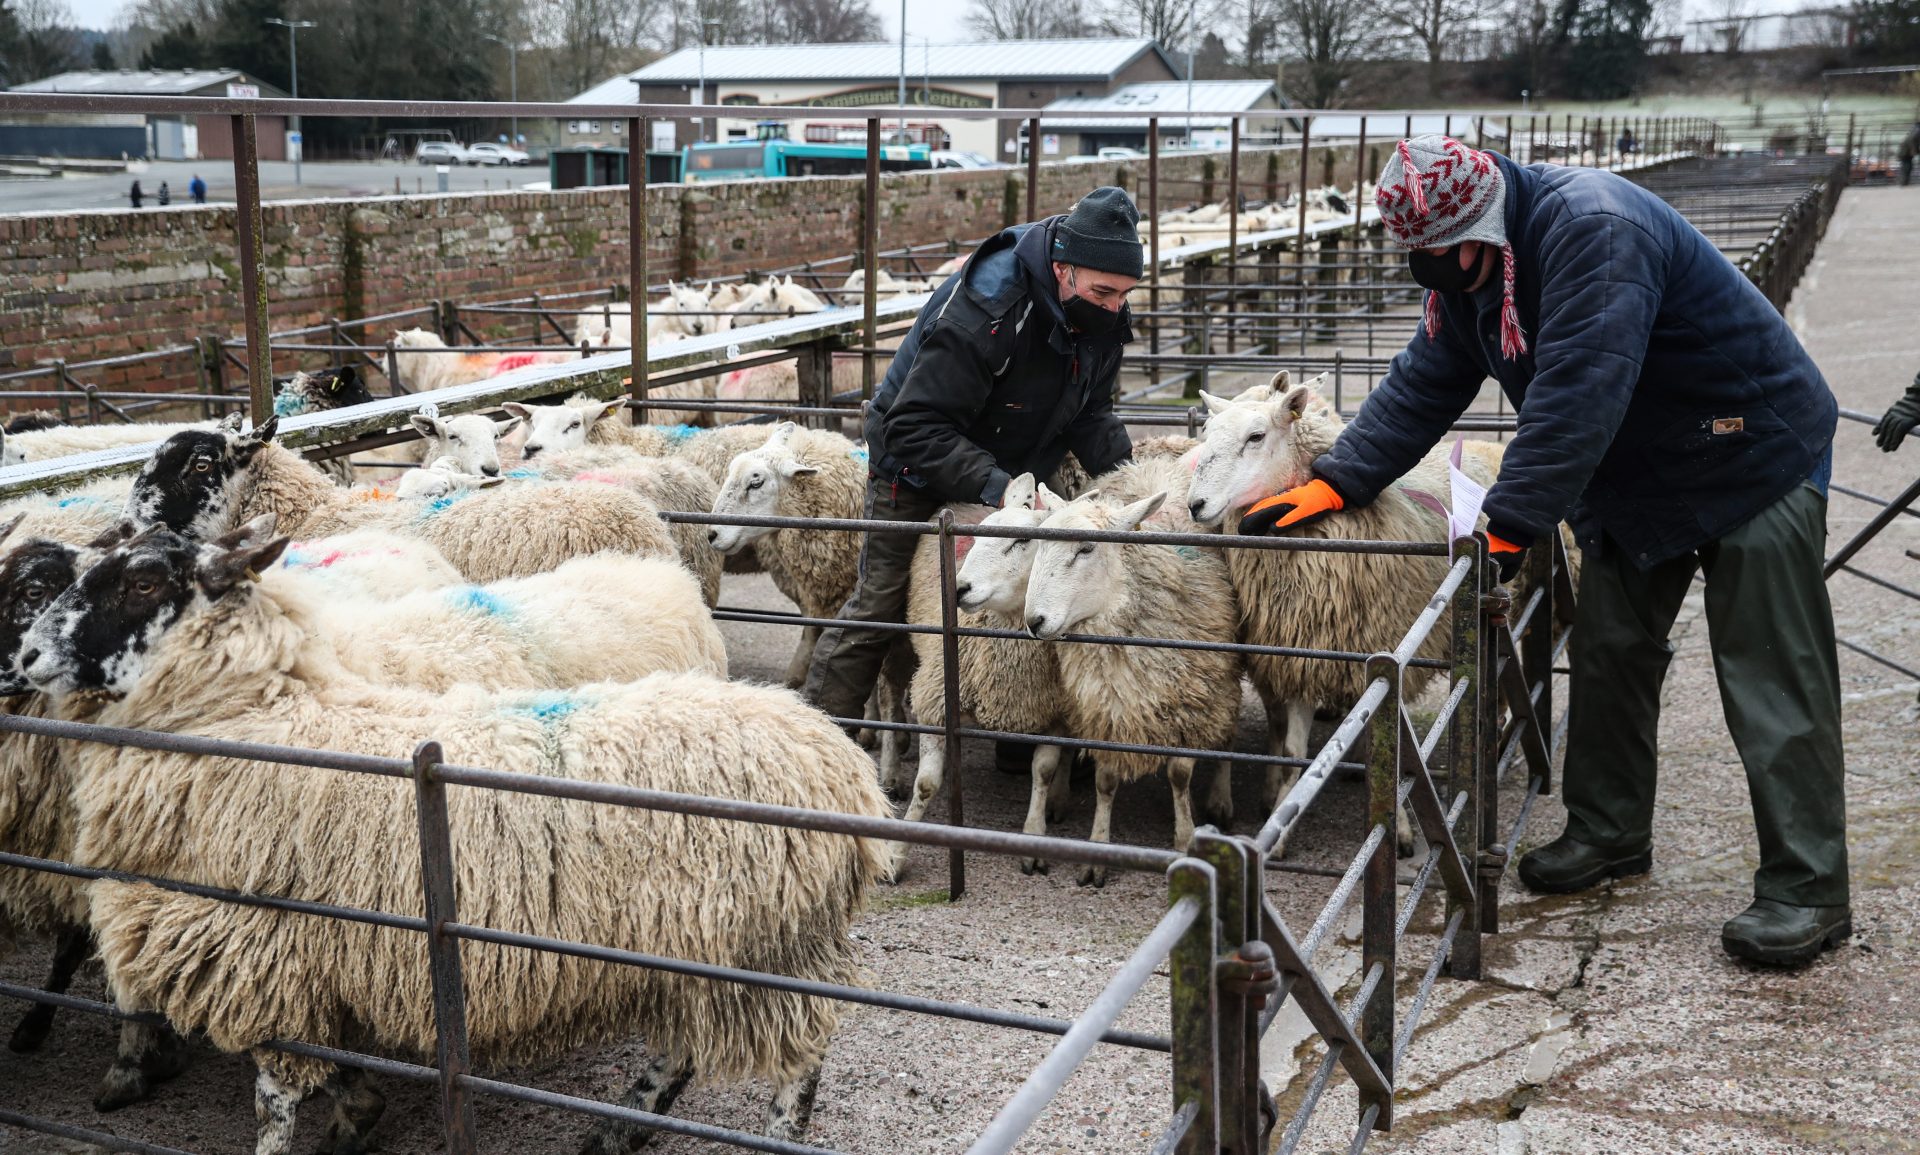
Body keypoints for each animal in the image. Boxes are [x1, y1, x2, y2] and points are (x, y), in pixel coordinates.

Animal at [22, 525, 894, 1151]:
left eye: (144, 580)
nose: (27, 653)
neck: (250, 720)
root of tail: (839, 763)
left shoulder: (260, 952)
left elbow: (274, 1098)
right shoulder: (312, 960)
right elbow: (336, 1066)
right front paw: (358, 1115)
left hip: (763, 948)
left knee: (799, 1059)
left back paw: (772, 1134)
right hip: (706, 952)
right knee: (682, 1052)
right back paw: (620, 1128)